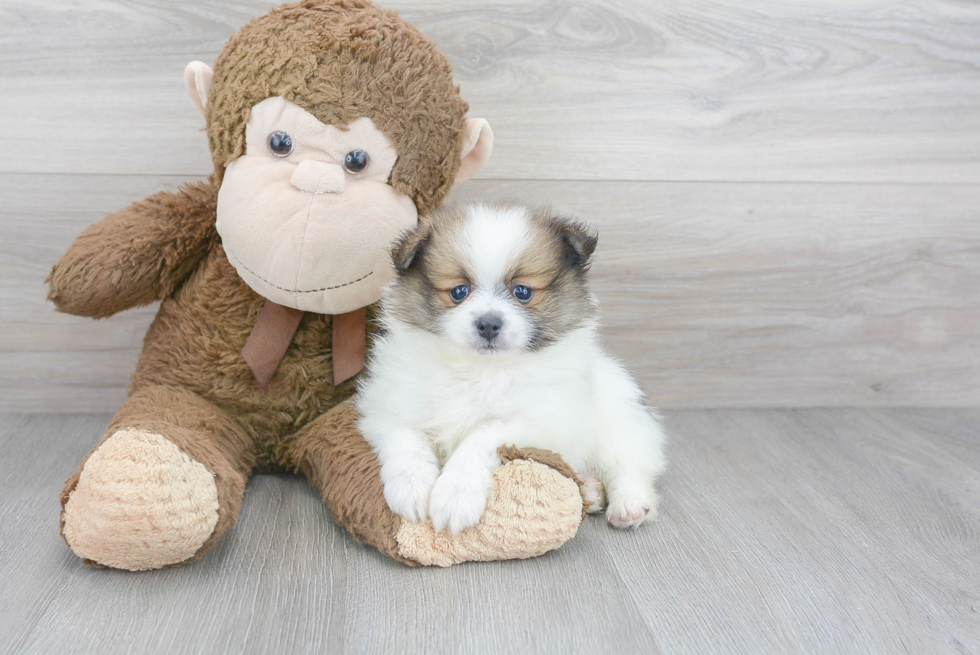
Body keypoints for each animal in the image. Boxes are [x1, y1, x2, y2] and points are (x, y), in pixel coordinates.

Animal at [356, 202, 668, 536]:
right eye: (459, 292)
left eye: (522, 292)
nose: (489, 323)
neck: (480, 369)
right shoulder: (388, 406)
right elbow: (406, 439)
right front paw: (411, 489)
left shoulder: (541, 420)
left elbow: (480, 437)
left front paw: (455, 496)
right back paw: (590, 490)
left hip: (617, 419)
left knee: (630, 465)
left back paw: (629, 505)